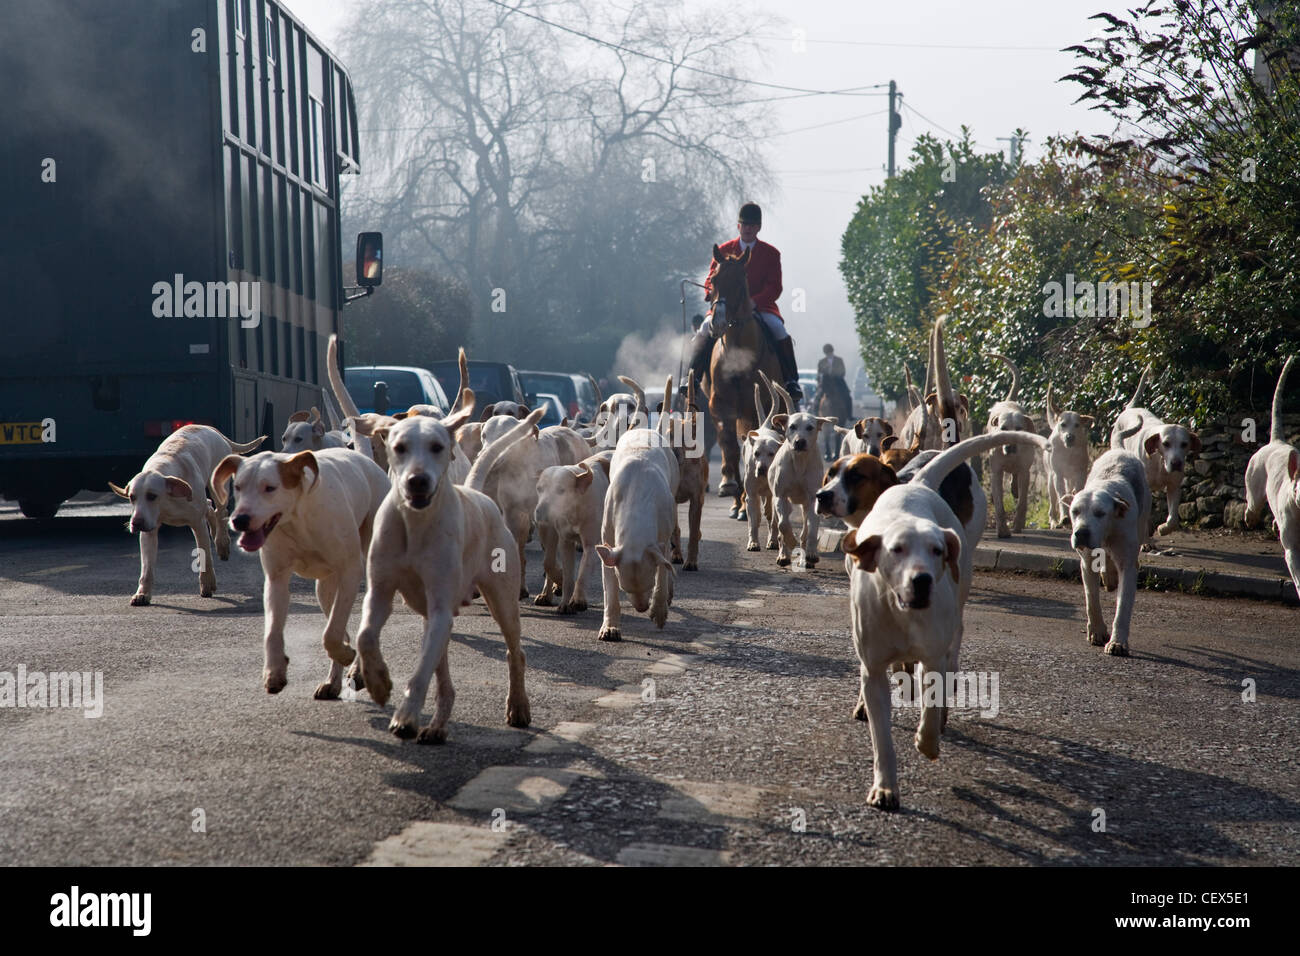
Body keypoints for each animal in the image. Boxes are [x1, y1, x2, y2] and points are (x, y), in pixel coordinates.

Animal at [707, 243, 785, 520]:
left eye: (741, 282)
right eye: (714, 279)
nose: (717, 323)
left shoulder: (754, 407)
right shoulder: (720, 405)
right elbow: (728, 443)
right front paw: (729, 485)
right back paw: (737, 501)